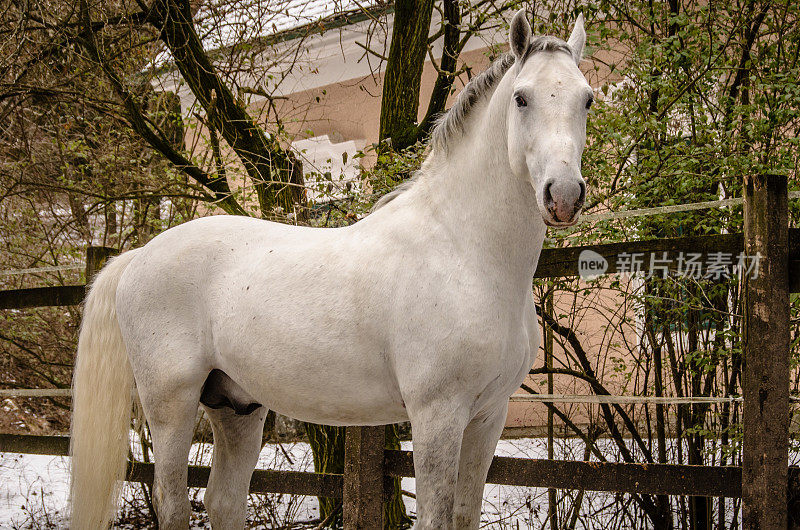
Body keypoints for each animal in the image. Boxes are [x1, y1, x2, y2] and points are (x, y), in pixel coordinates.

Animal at [70, 10, 592, 524]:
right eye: (521, 98)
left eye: (586, 98)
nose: (563, 195)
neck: (464, 251)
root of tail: (138, 256)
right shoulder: (438, 416)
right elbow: (435, 516)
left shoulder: (488, 417)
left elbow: (465, 514)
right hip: (170, 404)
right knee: (172, 502)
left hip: (238, 407)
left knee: (223, 499)